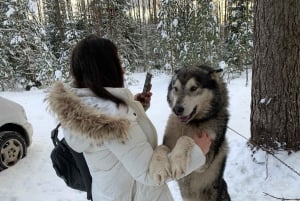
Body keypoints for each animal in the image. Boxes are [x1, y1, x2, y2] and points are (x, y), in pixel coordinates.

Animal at [149, 65, 230, 200]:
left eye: (193, 88)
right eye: (175, 88)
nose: (177, 109)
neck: (190, 124)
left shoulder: (205, 161)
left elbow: (186, 138)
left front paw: (177, 161)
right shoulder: (167, 143)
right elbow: (161, 147)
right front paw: (158, 169)